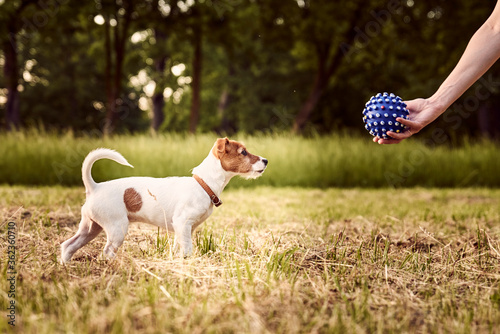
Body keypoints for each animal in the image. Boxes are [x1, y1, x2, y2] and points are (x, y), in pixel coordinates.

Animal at [60, 137, 268, 262]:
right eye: (243, 152)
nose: (266, 160)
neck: (203, 184)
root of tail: (94, 187)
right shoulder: (183, 223)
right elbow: (188, 249)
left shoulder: (183, 229)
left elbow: (179, 247)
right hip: (116, 228)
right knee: (107, 251)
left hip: (90, 228)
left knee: (68, 245)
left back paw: (66, 265)